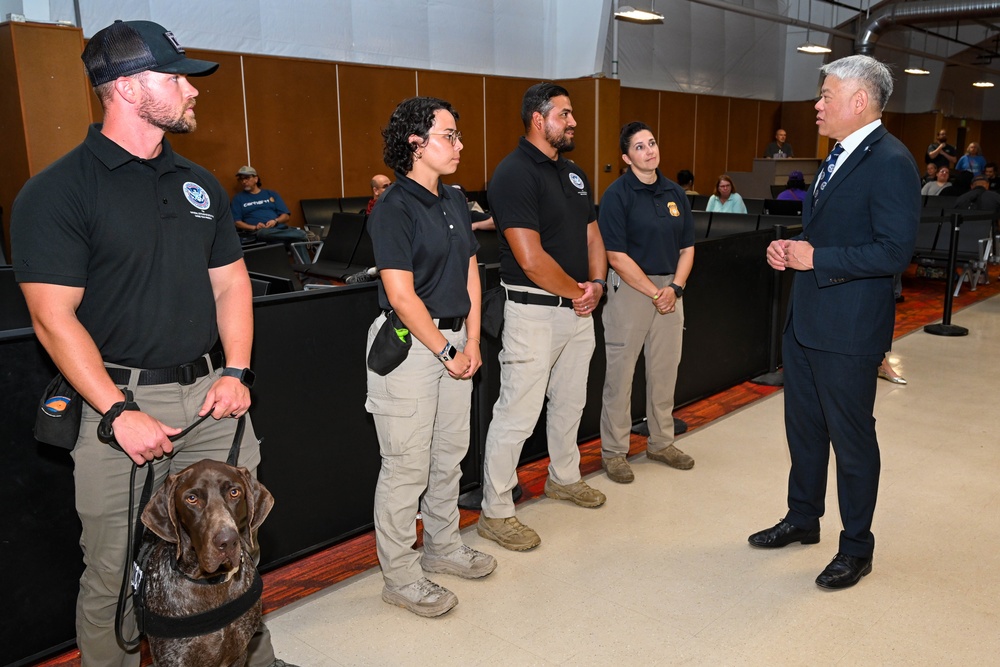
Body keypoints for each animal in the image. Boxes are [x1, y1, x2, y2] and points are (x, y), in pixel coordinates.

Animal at [139, 460, 274, 667]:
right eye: (192, 498)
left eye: (234, 492)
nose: (228, 541)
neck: (211, 581)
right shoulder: (173, 659)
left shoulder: (239, 654)